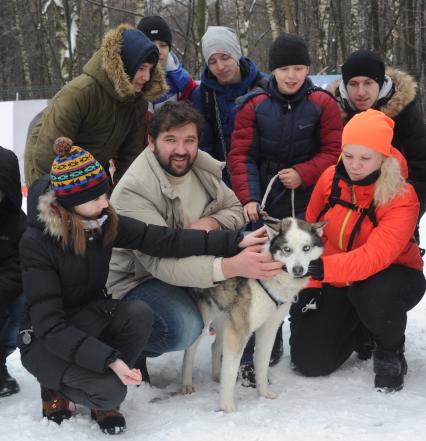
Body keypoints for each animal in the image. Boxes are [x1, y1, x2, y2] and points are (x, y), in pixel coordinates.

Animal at [181, 217, 324, 412]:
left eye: (306, 248)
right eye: (287, 249)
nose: (297, 270)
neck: (274, 277)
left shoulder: (268, 328)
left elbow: (262, 364)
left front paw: (264, 393)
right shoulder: (239, 332)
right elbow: (231, 371)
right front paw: (227, 407)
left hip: (225, 319)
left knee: (215, 346)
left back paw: (217, 375)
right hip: (205, 321)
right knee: (189, 351)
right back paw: (186, 383)